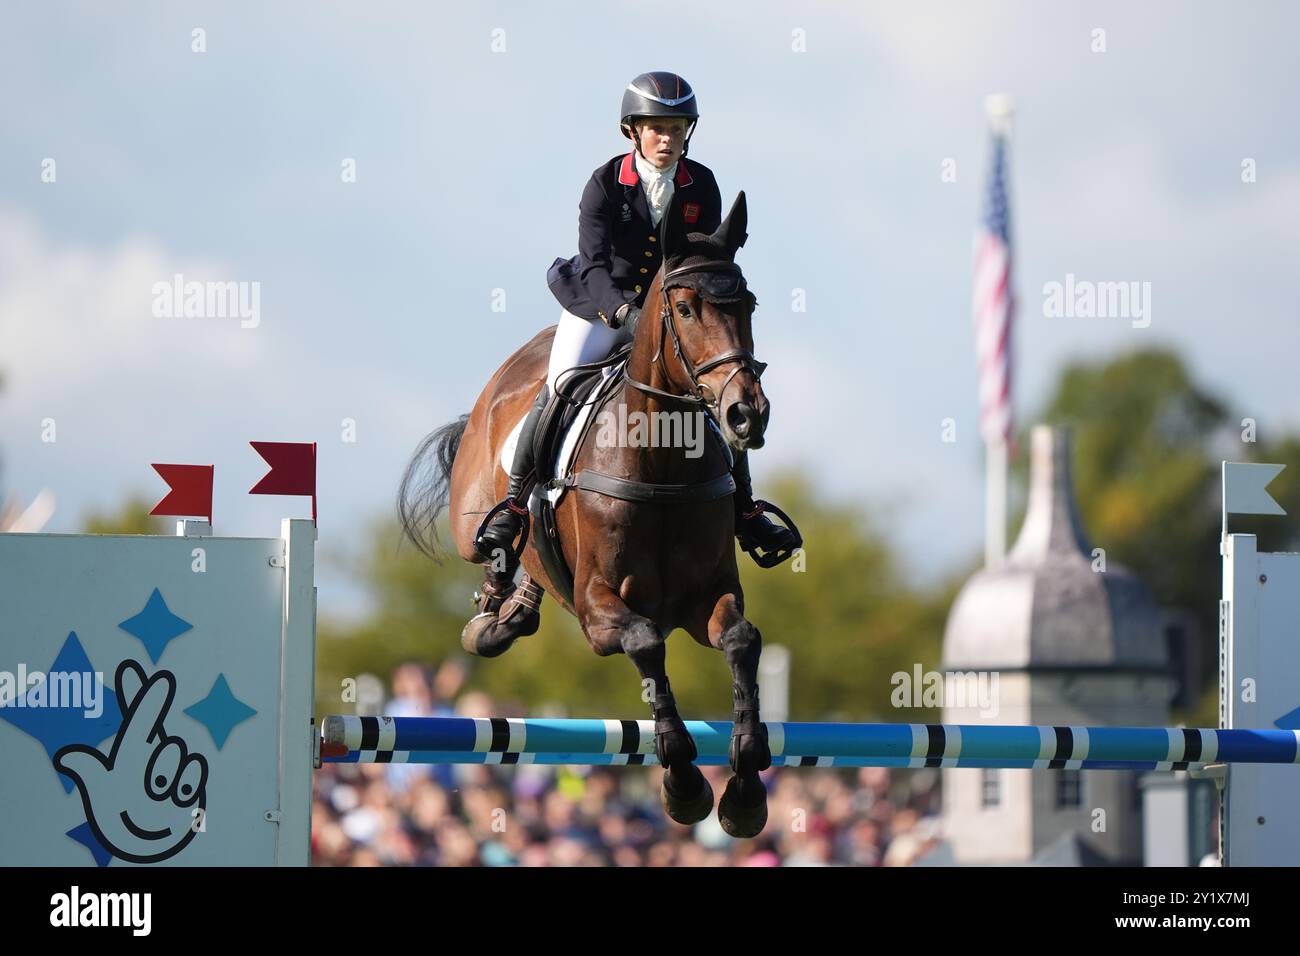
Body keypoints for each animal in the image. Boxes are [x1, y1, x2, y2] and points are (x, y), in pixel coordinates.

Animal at [397, 191, 769, 832]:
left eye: (747, 304)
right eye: (686, 309)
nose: (747, 414)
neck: (662, 462)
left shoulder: (709, 596)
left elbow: (742, 640)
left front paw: (745, 787)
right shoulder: (600, 610)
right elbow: (645, 642)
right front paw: (685, 783)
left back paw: (511, 614)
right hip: (471, 521)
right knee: (497, 542)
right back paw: (492, 611)